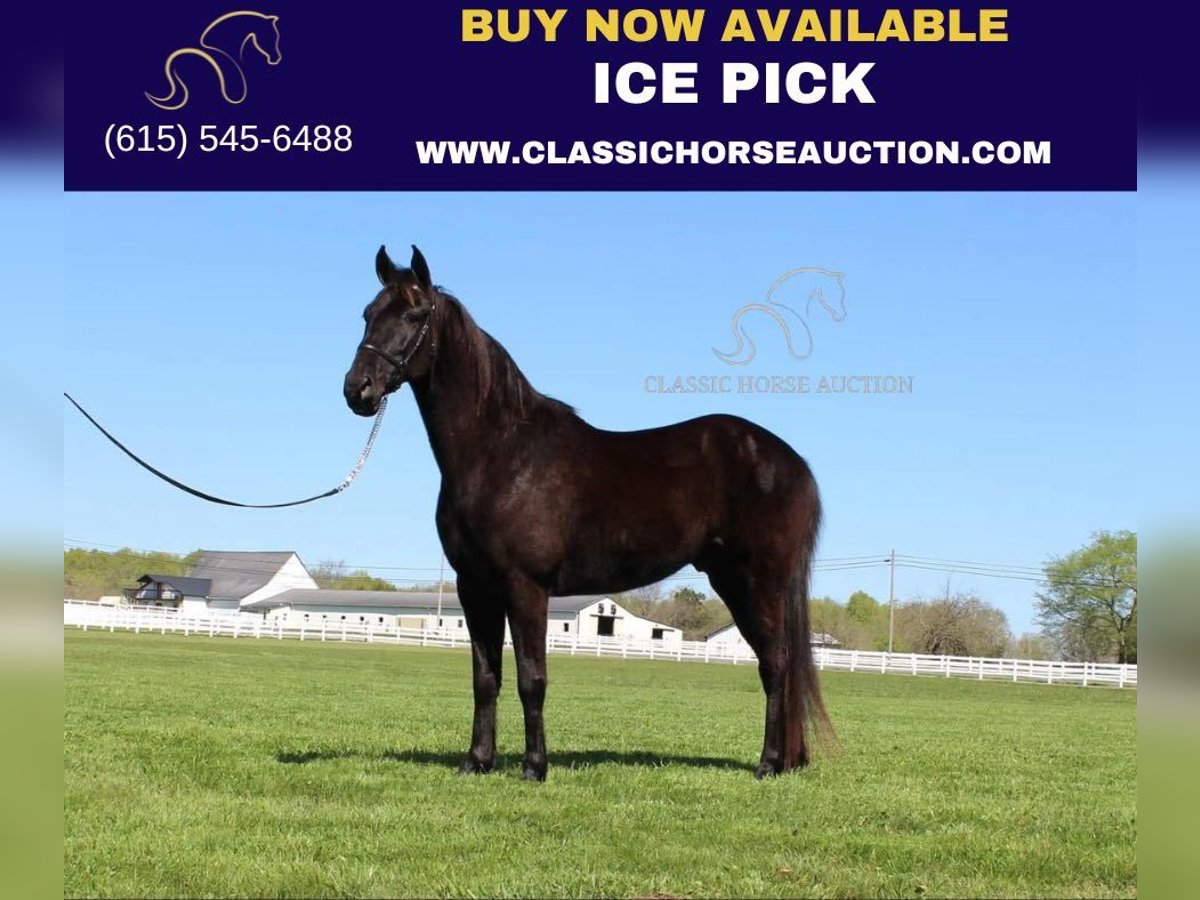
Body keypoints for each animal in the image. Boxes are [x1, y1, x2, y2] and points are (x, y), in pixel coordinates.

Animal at [343, 245, 832, 781]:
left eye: (414, 316)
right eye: (368, 314)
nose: (358, 390)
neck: (502, 452)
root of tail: (792, 462)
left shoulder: (525, 586)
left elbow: (532, 678)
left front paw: (534, 767)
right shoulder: (475, 587)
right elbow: (485, 677)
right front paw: (477, 762)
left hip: (758, 581)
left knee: (776, 663)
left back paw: (768, 764)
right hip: (734, 580)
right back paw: (783, 761)